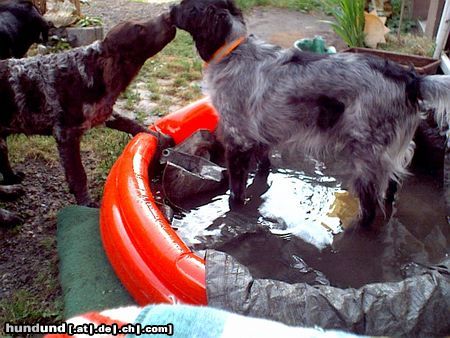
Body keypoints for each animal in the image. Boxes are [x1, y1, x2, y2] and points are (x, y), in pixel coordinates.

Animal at [171, 0, 450, 228]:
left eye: (186, 6)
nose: (170, 9)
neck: (234, 51)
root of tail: (411, 79)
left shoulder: (237, 140)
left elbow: (236, 192)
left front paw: (235, 211)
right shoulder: (259, 138)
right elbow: (263, 168)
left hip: (367, 161)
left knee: (370, 211)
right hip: (391, 157)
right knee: (391, 192)